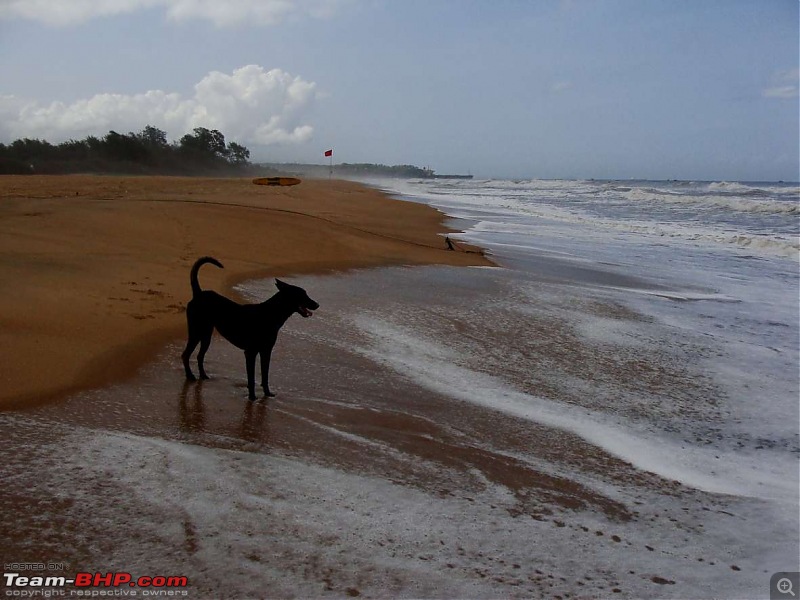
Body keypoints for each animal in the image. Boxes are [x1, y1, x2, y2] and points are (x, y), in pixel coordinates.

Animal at [181, 256, 318, 400]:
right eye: (302, 295)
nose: (317, 304)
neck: (270, 314)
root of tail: (198, 294)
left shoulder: (266, 351)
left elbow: (265, 374)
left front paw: (267, 394)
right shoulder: (251, 353)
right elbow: (251, 378)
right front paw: (252, 397)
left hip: (206, 334)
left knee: (199, 356)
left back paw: (203, 375)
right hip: (196, 331)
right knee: (185, 355)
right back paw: (190, 376)